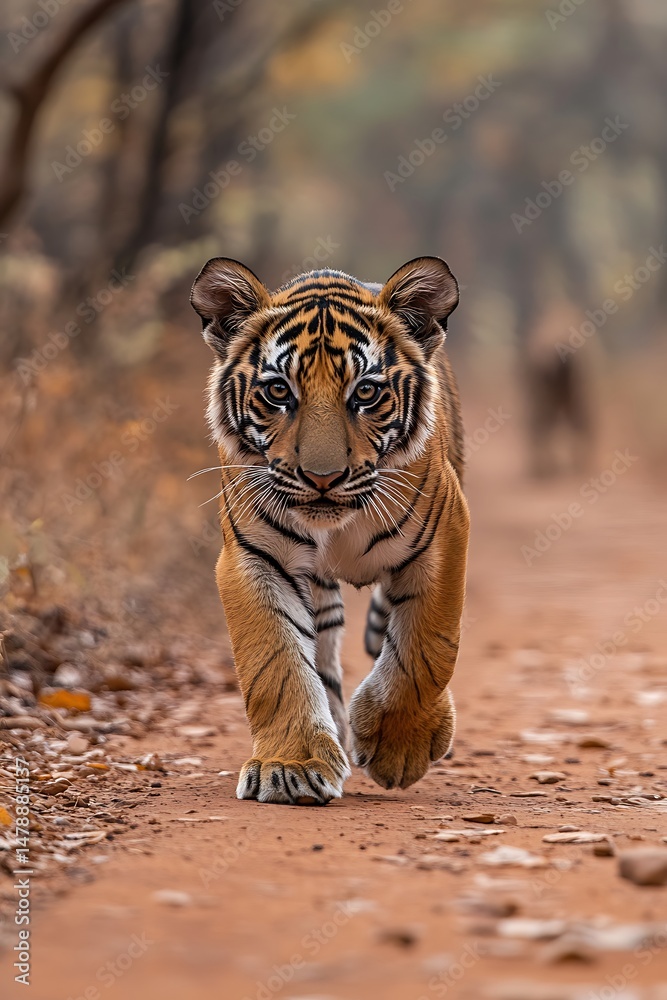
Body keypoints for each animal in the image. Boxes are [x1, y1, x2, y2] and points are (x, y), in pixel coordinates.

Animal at [190, 255, 469, 805]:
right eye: (278, 391)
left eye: (366, 392)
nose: (322, 478)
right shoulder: (255, 557)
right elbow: (276, 662)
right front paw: (290, 767)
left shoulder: (443, 538)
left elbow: (425, 650)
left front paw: (397, 748)